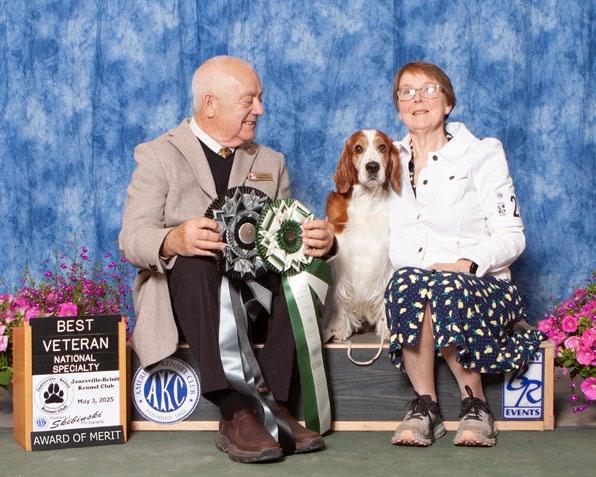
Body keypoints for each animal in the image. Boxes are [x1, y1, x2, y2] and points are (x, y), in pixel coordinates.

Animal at [324, 129, 401, 342]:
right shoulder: (342, 262)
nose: (372, 167)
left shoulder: (384, 260)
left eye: (382, 147)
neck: (367, 202)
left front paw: (386, 329)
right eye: (358, 148)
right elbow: (339, 295)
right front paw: (338, 329)